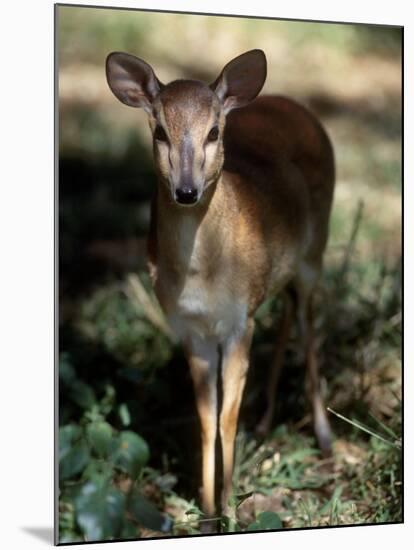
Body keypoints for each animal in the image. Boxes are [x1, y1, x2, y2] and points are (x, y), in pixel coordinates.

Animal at [105, 49, 334, 524]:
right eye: (160, 130)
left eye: (213, 132)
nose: (186, 191)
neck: (204, 273)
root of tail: (298, 107)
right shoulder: (190, 328)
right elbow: (206, 418)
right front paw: (208, 509)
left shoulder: (237, 321)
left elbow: (228, 418)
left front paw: (231, 504)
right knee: (288, 311)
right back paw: (264, 424)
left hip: (315, 253)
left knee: (307, 326)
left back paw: (324, 439)